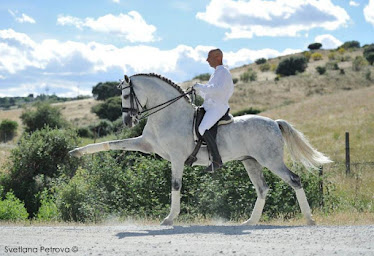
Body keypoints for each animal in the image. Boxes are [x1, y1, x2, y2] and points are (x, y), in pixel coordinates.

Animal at [68, 73, 332, 225]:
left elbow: (175, 186)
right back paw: (250, 222)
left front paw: (169, 218)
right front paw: (76, 152)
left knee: (294, 180)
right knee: (263, 189)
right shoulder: (146, 145)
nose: (127, 122)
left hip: (271, 161)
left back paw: (309, 219)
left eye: (125, 94)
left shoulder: (176, 158)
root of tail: (274, 122)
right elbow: (112, 144)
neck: (168, 114)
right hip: (250, 161)